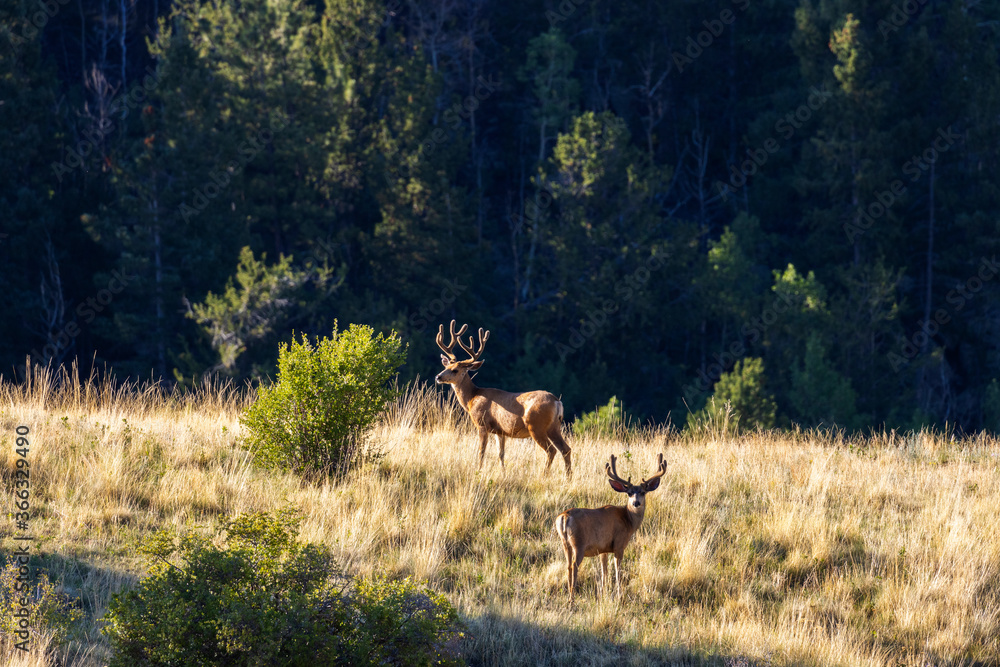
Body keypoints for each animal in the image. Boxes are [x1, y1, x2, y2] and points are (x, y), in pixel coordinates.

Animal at [434, 320, 572, 478]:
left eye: (455, 370)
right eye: (446, 366)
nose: (438, 377)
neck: (472, 398)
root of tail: (557, 401)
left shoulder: (482, 424)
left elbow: (482, 452)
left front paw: (478, 471)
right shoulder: (500, 431)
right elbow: (501, 454)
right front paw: (503, 473)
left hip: (536, 426)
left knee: (551, 450)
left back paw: (544, 475)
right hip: (554, 427)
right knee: (566, 449)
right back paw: (568, 477)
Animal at [554, 453, 667, 605]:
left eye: (643, 492)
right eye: (629, 493)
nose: (636, 503)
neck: (628, 520)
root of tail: (564, 517)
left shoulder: (603, 549)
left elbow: (604, 571)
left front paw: (602, 594)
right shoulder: (619, 545)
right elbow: (617, 571)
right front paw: (620, 596)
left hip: (565, 542)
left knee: (567, 565)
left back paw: (569, 595)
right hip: (579, 543)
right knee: (574, 565)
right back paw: (572, 598)